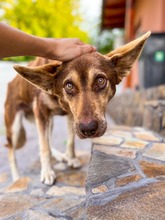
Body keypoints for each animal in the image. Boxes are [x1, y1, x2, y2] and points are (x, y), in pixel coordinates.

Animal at [4, 31, 151, 185]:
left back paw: (60, 156)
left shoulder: (71, 117)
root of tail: (11, 84)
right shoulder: (41, 112)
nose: (88, 129)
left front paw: (72, 158)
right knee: (11, 151)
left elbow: (69, 141)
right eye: (69, 85)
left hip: (49, 123)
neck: (59, 100)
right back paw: (16, 177)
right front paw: (47, 172)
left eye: (100, 80)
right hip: (15, 127)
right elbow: (44, 147)